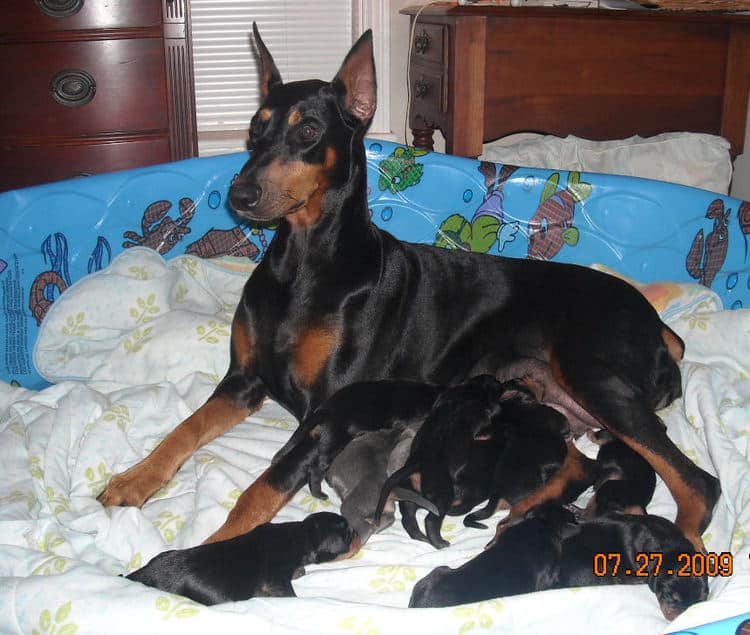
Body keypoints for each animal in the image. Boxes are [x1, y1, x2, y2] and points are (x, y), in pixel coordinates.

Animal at [97, 23, 720, 552]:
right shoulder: (243, 381)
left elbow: (263, 486)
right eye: (255, 128)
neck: (302, 261)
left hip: (594, 376)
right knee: (577, 463)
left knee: (698, 481)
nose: (240, 194)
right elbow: (183, 430)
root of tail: (658, 326)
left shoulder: (327, 410)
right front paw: (133, 479)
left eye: (307, 130)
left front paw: (210, 553)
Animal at [126, 512, 358, 608]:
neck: (300, 534)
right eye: (348, 535)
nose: (357, 533)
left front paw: (300, 570)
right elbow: (287, 592)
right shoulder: (276, 579)